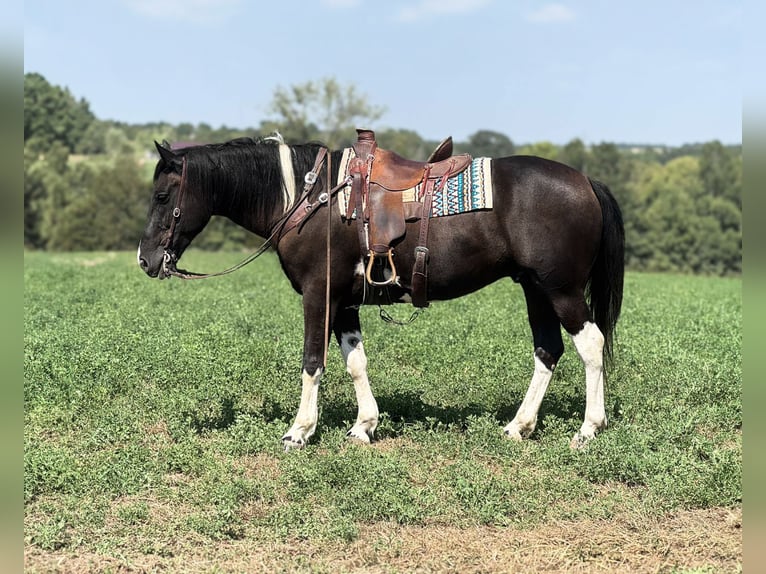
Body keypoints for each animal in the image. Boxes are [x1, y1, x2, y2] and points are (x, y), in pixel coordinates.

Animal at [137, 134, 624, 450]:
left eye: (162, 196)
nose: (145, 259)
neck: (309, 201)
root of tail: (587, 182)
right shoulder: (345, 302)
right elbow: (356, 362)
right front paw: (364, 426)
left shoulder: (318, 294)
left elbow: (312, 362)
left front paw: (299, 431)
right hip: (534, 289)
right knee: (548, 350)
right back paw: (518, 427)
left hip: (560, 289)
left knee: (591, 344)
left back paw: (588, 429)